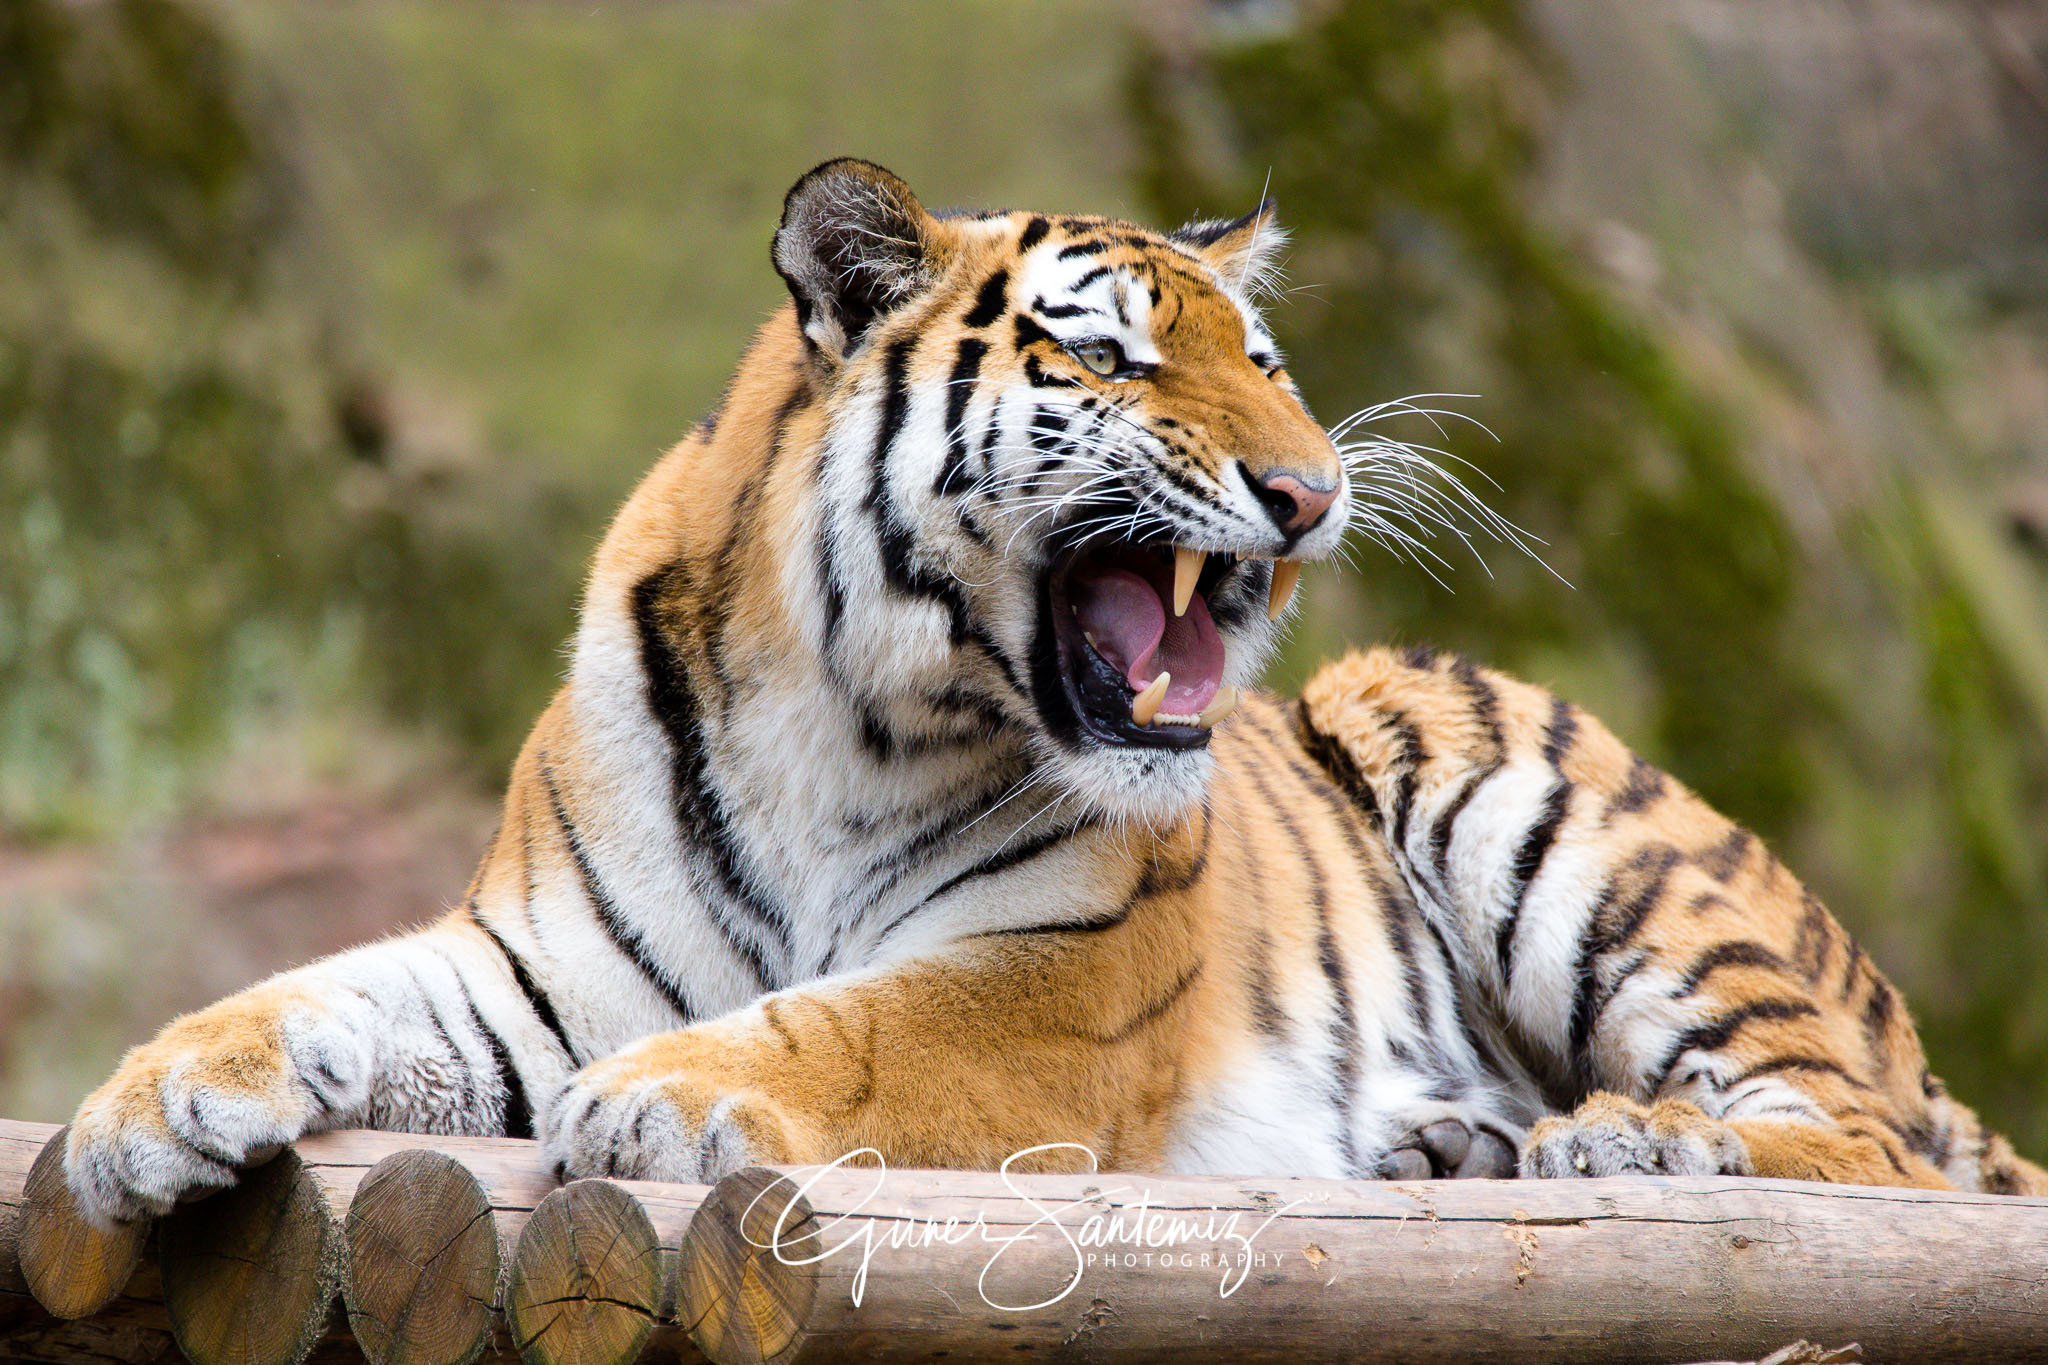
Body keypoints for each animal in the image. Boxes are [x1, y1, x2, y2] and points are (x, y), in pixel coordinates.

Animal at [65, 157, 2047, 1226]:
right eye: (1115, 357)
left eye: (1265, 362)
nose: (1312, 489)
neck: (842, 718)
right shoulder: (534, 959)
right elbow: (325, 982)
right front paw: (139, 1109)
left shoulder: (1062, 984)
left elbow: (848, 1026)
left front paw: (657, 1100)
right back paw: (1454, 1141)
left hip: (1520, 786)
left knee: (1867, 1138)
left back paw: (1632, 1142)